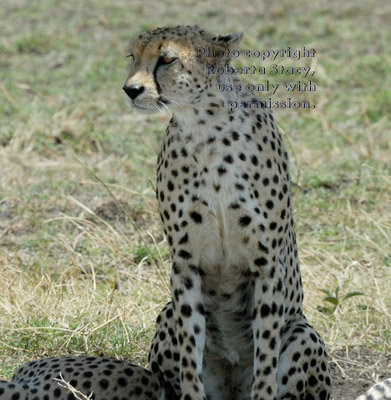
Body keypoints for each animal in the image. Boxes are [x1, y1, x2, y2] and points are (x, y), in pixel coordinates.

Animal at [124, 25, 332, 400]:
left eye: (166, 59)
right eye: (133, 57)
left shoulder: (266, 263)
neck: (206, 129)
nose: (130, 90)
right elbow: (189, 354)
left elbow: (266, 355)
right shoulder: (185, 263)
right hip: (166, 314)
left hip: (302, 332)